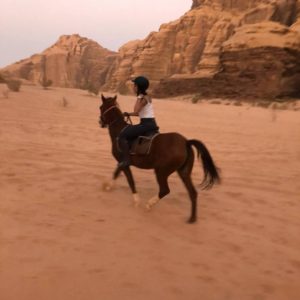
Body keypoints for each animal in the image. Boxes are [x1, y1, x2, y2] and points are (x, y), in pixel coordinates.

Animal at [99, 94, 220, 223]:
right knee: (192, 193)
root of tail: (186, 142)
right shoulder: (123, 163)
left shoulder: (124, 162)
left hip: (161, 171)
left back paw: (149, 204)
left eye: (101, 107)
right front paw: (108, 186)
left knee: (164, 190)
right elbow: (117, 173)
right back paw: (191, 219)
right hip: (184, 172)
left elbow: (129, 180)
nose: (100, 122)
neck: (119, 131)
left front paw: (135, 200)